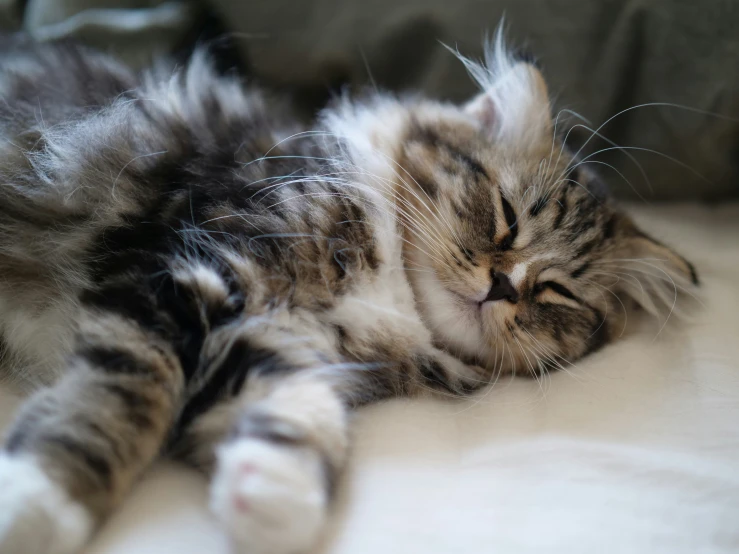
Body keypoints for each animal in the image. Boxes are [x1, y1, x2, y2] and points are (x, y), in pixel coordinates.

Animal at [0, 32, 696, 552]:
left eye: (555, 292)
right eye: (506, 218)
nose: (503, 286)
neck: (388, 294)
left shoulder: (275, 336)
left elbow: (300, 410)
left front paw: (275, 495)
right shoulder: (179, 271)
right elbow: (120, 399)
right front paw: (42, 501)